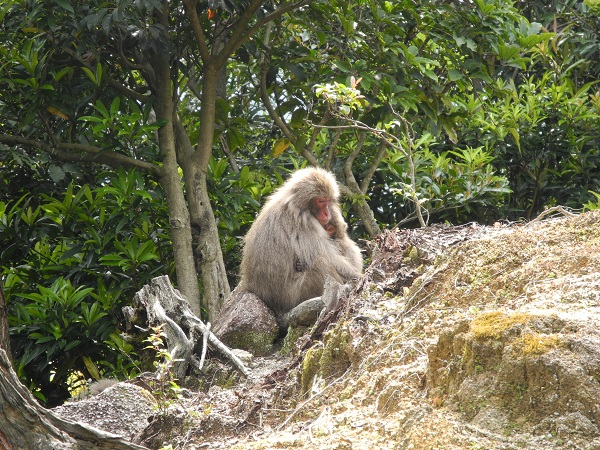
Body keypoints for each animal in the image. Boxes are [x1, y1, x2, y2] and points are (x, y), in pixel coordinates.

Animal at [238, 167, 360, 318]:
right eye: (321, 201)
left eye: (327, 201)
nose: (327, 213)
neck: (296, 205)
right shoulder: (306, 222)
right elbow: (328, 257)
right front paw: (360, 277)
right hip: (294, 297)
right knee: (320, 262)